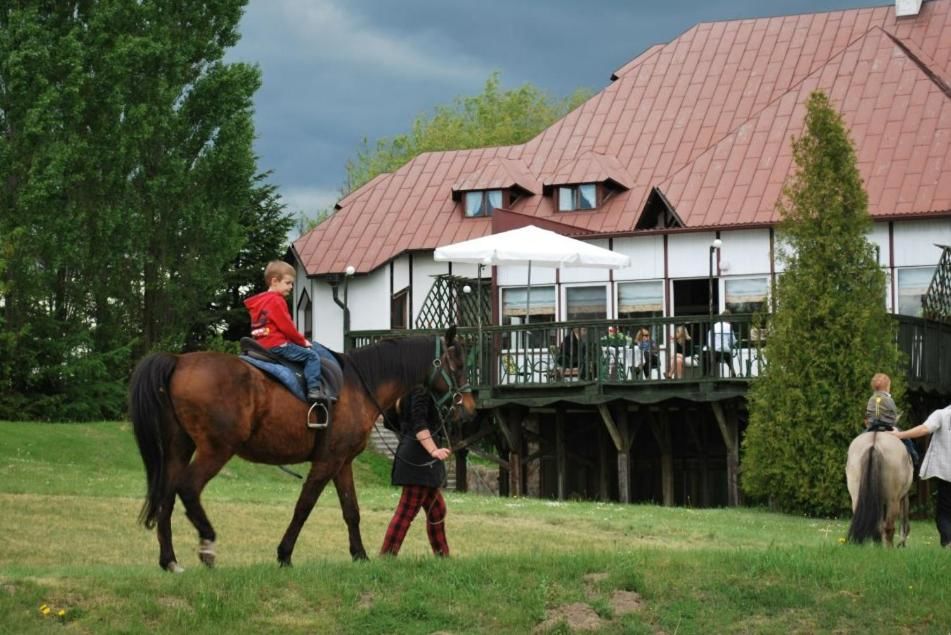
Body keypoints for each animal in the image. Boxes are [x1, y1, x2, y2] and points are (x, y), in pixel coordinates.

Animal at [130, 328, 476, 572]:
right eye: (458, 365)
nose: (470, 409)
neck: (359, 385)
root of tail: (178, 360)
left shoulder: (342, 463)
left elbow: (351, 511)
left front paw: (360, 555)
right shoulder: (326, 462)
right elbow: (304, 506)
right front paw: (284, 554)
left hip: (179, 448)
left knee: (166, 496)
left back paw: (169, 559)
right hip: (216, 450)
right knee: (188, 489)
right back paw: (207, 543)